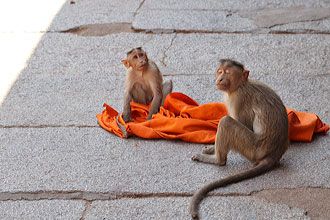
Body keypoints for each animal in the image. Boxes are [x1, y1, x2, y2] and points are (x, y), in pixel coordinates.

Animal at [189, 58, 288, 220]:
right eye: (220, 71)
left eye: (228, 72)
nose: (220, 79)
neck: (241, 85)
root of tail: (273, 154)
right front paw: (210, 148)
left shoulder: (238, 99)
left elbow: (243, 123)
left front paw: (212, 152)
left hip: (252, 148)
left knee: (226, 122)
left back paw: (218, 160)